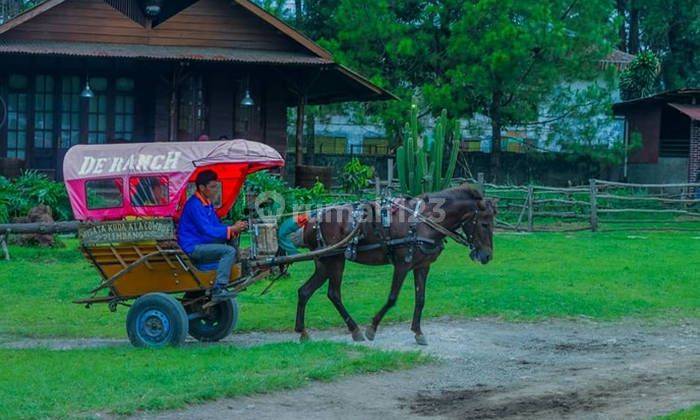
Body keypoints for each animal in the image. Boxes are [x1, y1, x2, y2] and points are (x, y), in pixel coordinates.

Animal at [294, 184, 498, 344]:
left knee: (305, 291)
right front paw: (372, 328)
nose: (487, 256)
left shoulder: (422, 266)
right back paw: (355, 330)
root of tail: (312, 220)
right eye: (484, 224)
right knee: (334, 294)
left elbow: (421, 299)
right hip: (335, 261)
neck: (424, 222)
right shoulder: (402, 265)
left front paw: (418, 332)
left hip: (324, 263)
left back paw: (302, 332)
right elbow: (392, 298)